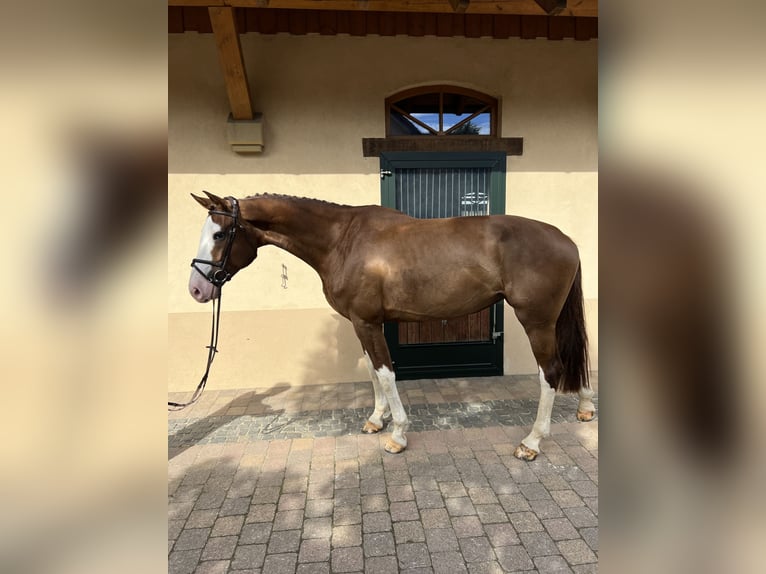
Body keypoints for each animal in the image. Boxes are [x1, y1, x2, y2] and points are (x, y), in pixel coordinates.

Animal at [187, 191, 594, 459]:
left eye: (220, 234)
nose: (197, 288)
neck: (343, 241)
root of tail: (567, 240)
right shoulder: (364, 323)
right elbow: (372, 370)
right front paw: (375, 420)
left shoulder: (366, 321)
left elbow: (385, 373)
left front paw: (397, 434)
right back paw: (585, 407)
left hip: (537, 321)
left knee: (551, 371)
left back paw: (532, 442)